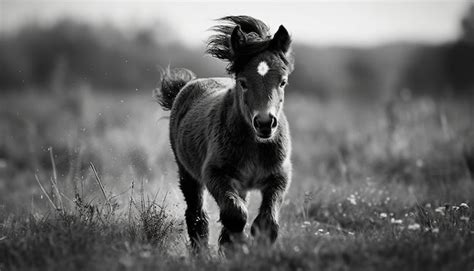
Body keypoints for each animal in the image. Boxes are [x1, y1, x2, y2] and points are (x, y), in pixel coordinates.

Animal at [156, 14, 294, 253]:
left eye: (282, 82)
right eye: (243, 83)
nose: (265, 123)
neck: (255, 144)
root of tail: (187, 85)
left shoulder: (279, 176)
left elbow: (266, 222)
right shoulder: (215, 174)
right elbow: (235, 215)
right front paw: (234, 247)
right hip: (187, 172)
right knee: (196, 214)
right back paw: (201, 251)